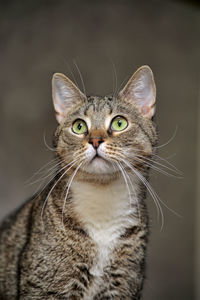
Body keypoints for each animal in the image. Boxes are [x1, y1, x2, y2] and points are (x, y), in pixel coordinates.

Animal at [0, 64, 158, 298]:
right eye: (79, 126)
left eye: (119, 123)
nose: (95, 140)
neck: (102, 205)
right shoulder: (45, 288)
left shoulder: (123, 286)